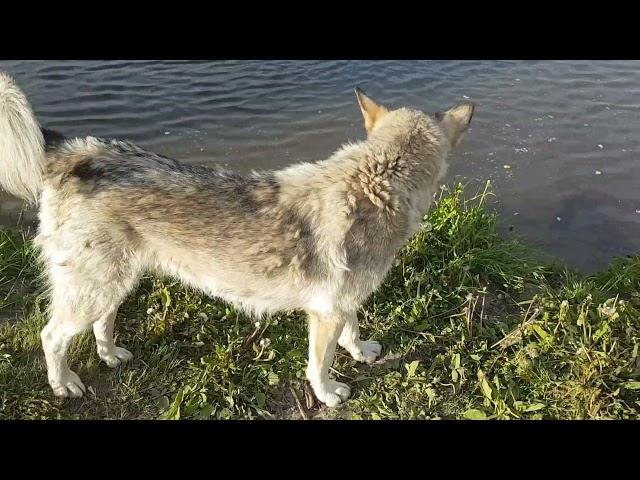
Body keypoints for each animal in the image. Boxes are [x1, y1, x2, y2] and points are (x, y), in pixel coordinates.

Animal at [0, 73, 470, 406]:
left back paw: (110, 354)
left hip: (114, 282)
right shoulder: (326, 312)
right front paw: (328, 395)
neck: (375, 184)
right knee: (51, 336)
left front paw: (360, 351)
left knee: (103, 321)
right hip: (91, 289)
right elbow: (319, 365)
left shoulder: (342, 303)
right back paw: (63, 384)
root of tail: (76, 151)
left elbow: (352, 333)